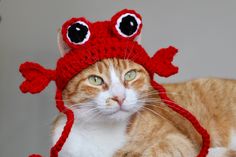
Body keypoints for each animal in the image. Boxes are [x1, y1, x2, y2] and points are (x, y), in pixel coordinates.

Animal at [51, 56, 236, 157]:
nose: (119, 97)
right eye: (95, 80)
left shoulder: (178, 140)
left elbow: (155, 151)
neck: (100, 129)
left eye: (130, 75)